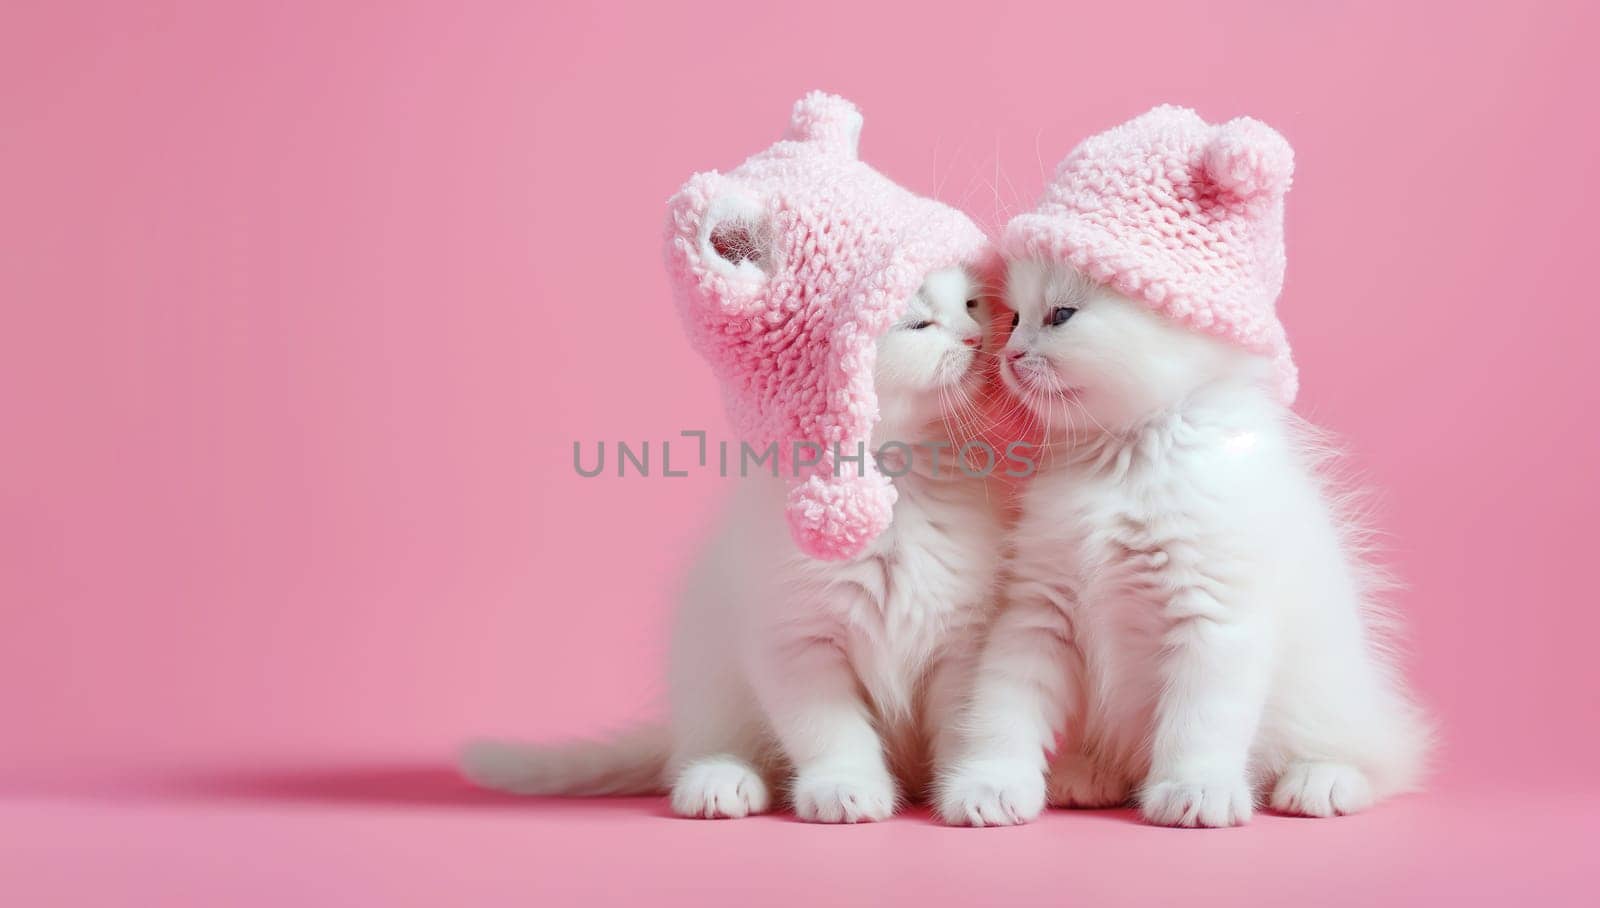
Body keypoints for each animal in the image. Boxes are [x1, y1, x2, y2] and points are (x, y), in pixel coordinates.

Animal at [467, 268, 1011, 824]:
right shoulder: (795, 640)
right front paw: (844, 785)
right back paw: (718, 779)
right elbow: (831, 730)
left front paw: (975, 783)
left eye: (972, 304)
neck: (889, 496)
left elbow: (967, 724)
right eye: (916, 323)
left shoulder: (963, 642)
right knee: (702, 749)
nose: (976, 338)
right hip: (707, 658)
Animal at [934, 258, 1433, 824]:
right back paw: (1090, 770)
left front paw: (1195, 788)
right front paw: (990, 783)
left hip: (1331, 691)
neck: (1122, 457)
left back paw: (1320, 780)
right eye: (1015, 319)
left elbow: (1199, 721)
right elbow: (1004, 706)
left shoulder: (1214, 612)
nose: (1011, 355)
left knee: (1369, 759)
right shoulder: (1038, 610)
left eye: (1061, 315)